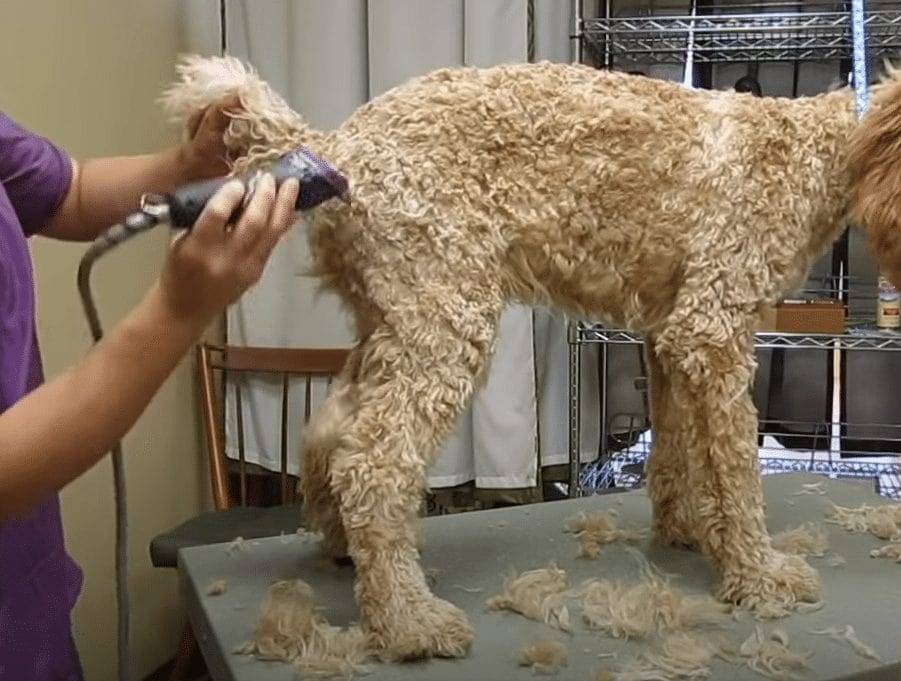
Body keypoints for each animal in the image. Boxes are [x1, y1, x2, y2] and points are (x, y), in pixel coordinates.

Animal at [162, 55, 892, 660]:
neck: (816, 148)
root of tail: (337, 147)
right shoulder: (710, 329)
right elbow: (737, 469)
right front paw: (757, 573)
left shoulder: (668, 335)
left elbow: (679, 446)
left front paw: (687, 530)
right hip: (446, 319)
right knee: (373, 465)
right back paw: (406, 623)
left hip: (394, 321)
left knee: (331, 435)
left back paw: (352, 552)